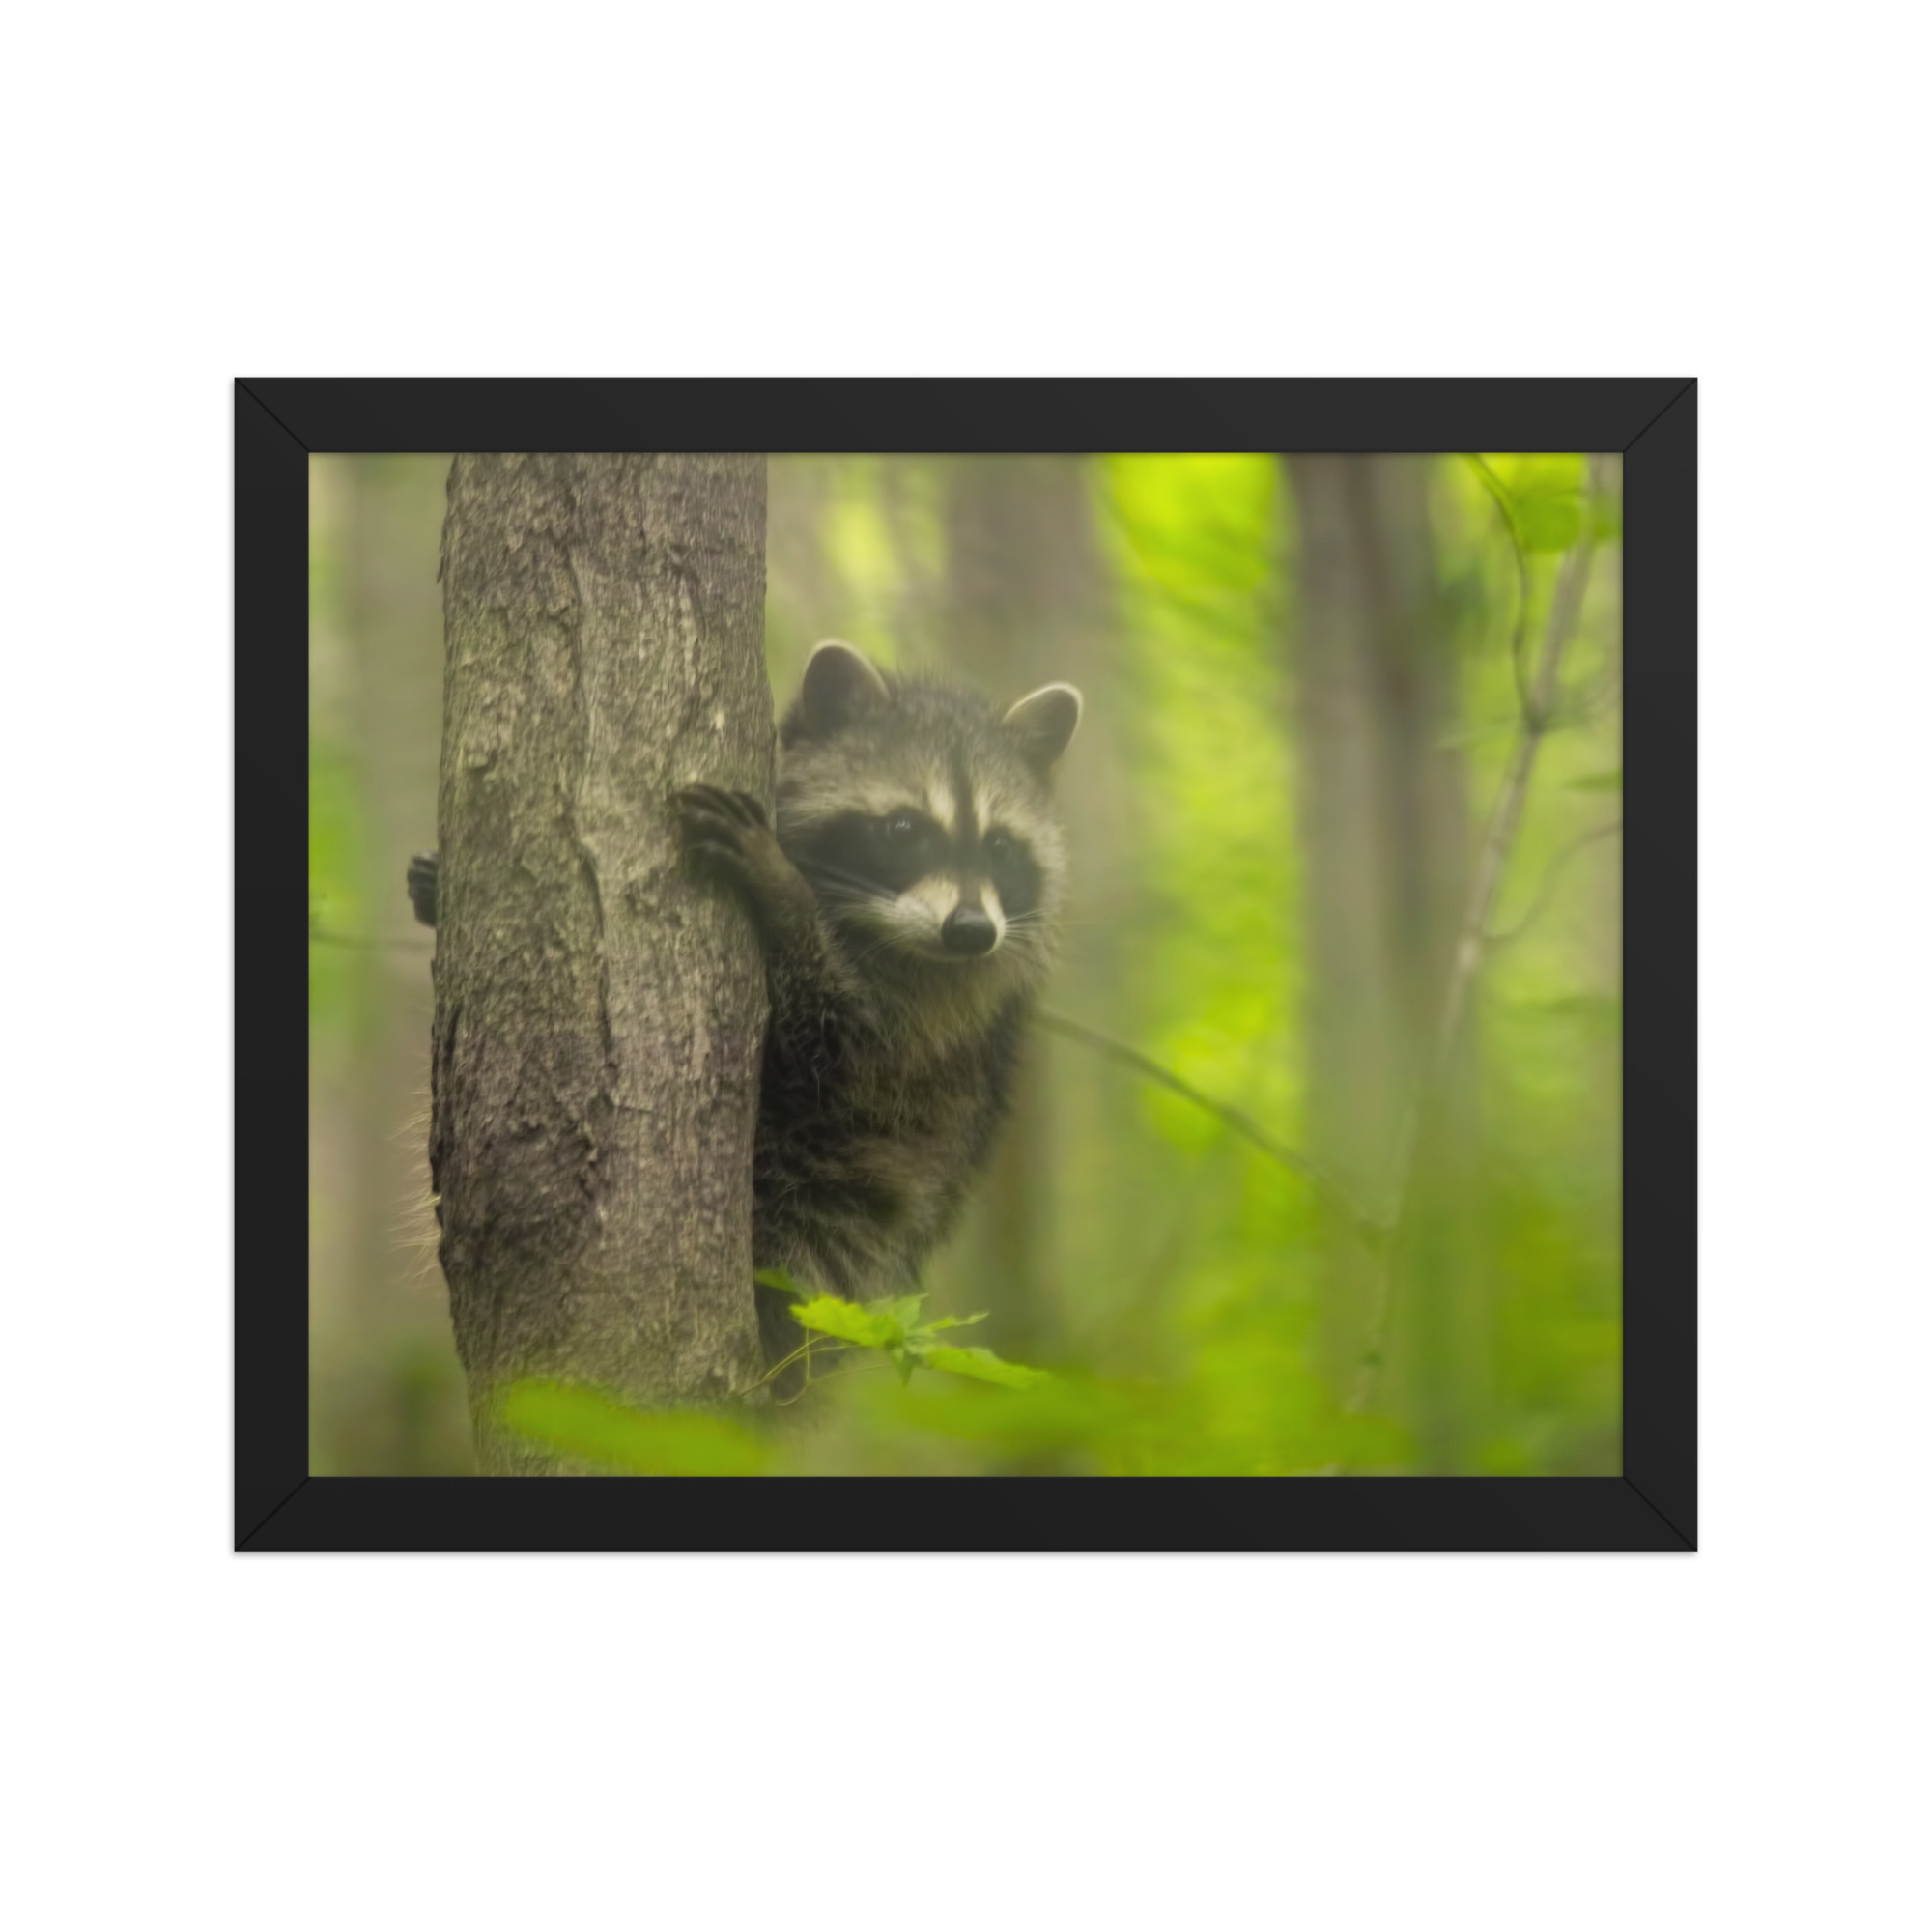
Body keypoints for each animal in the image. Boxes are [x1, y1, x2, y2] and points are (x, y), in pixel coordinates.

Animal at [409, 639, 1081, 1388]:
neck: (875, 924)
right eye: (905, 829)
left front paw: (781, 894)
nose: (970, 931)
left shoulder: (935, 1014)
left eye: (1000, 847)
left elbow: (837, 1035)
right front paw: (435, 891)